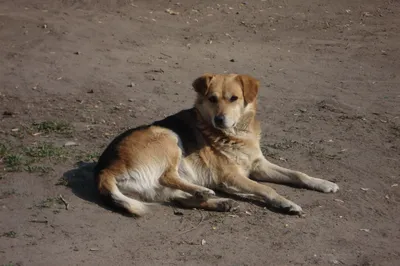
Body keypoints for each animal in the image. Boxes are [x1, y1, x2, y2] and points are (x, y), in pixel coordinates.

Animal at [94, 72, 338, 216]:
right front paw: (285, 202)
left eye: (234, 98)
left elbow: (298, 174)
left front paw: (323, 183)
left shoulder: (258, 166)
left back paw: (219, 201)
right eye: (212, 99)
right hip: (168, 137)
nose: (220, 120)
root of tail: (105, 169)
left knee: (183, 199)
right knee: (168, 176)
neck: (236, 134)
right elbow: (266, 188)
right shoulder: (231, 175)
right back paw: (204, 191)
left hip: (159, 187)